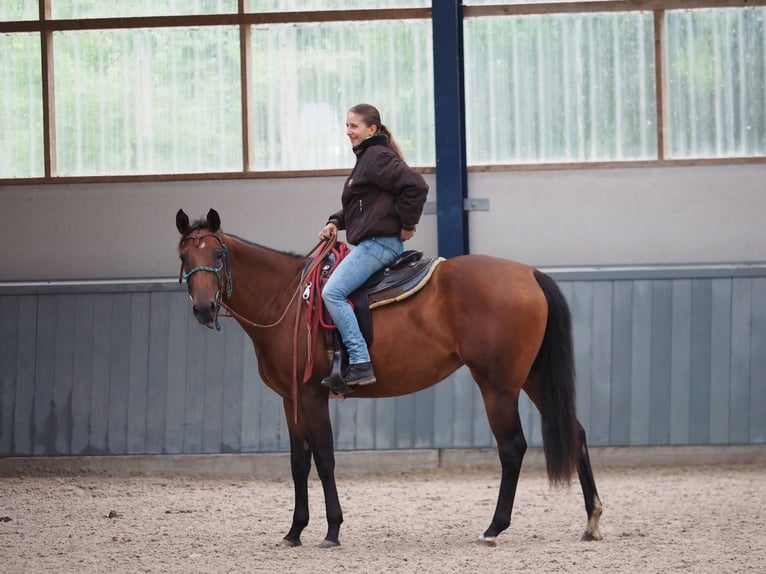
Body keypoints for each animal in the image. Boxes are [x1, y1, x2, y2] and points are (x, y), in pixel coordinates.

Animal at [177, 210, 604, 548]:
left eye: (218, 254)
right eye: (184, 255)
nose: (204, 308)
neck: (287, 298)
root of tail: (528, 273)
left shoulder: (312, 396)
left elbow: (325, 459)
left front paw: (332, 531)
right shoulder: (290, 399)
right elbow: (299, 462)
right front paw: (294, 531)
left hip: (498, 386)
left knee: (512, 447)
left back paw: (494, 528)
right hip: (532, 378)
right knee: (577, 433)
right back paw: (592, 521)